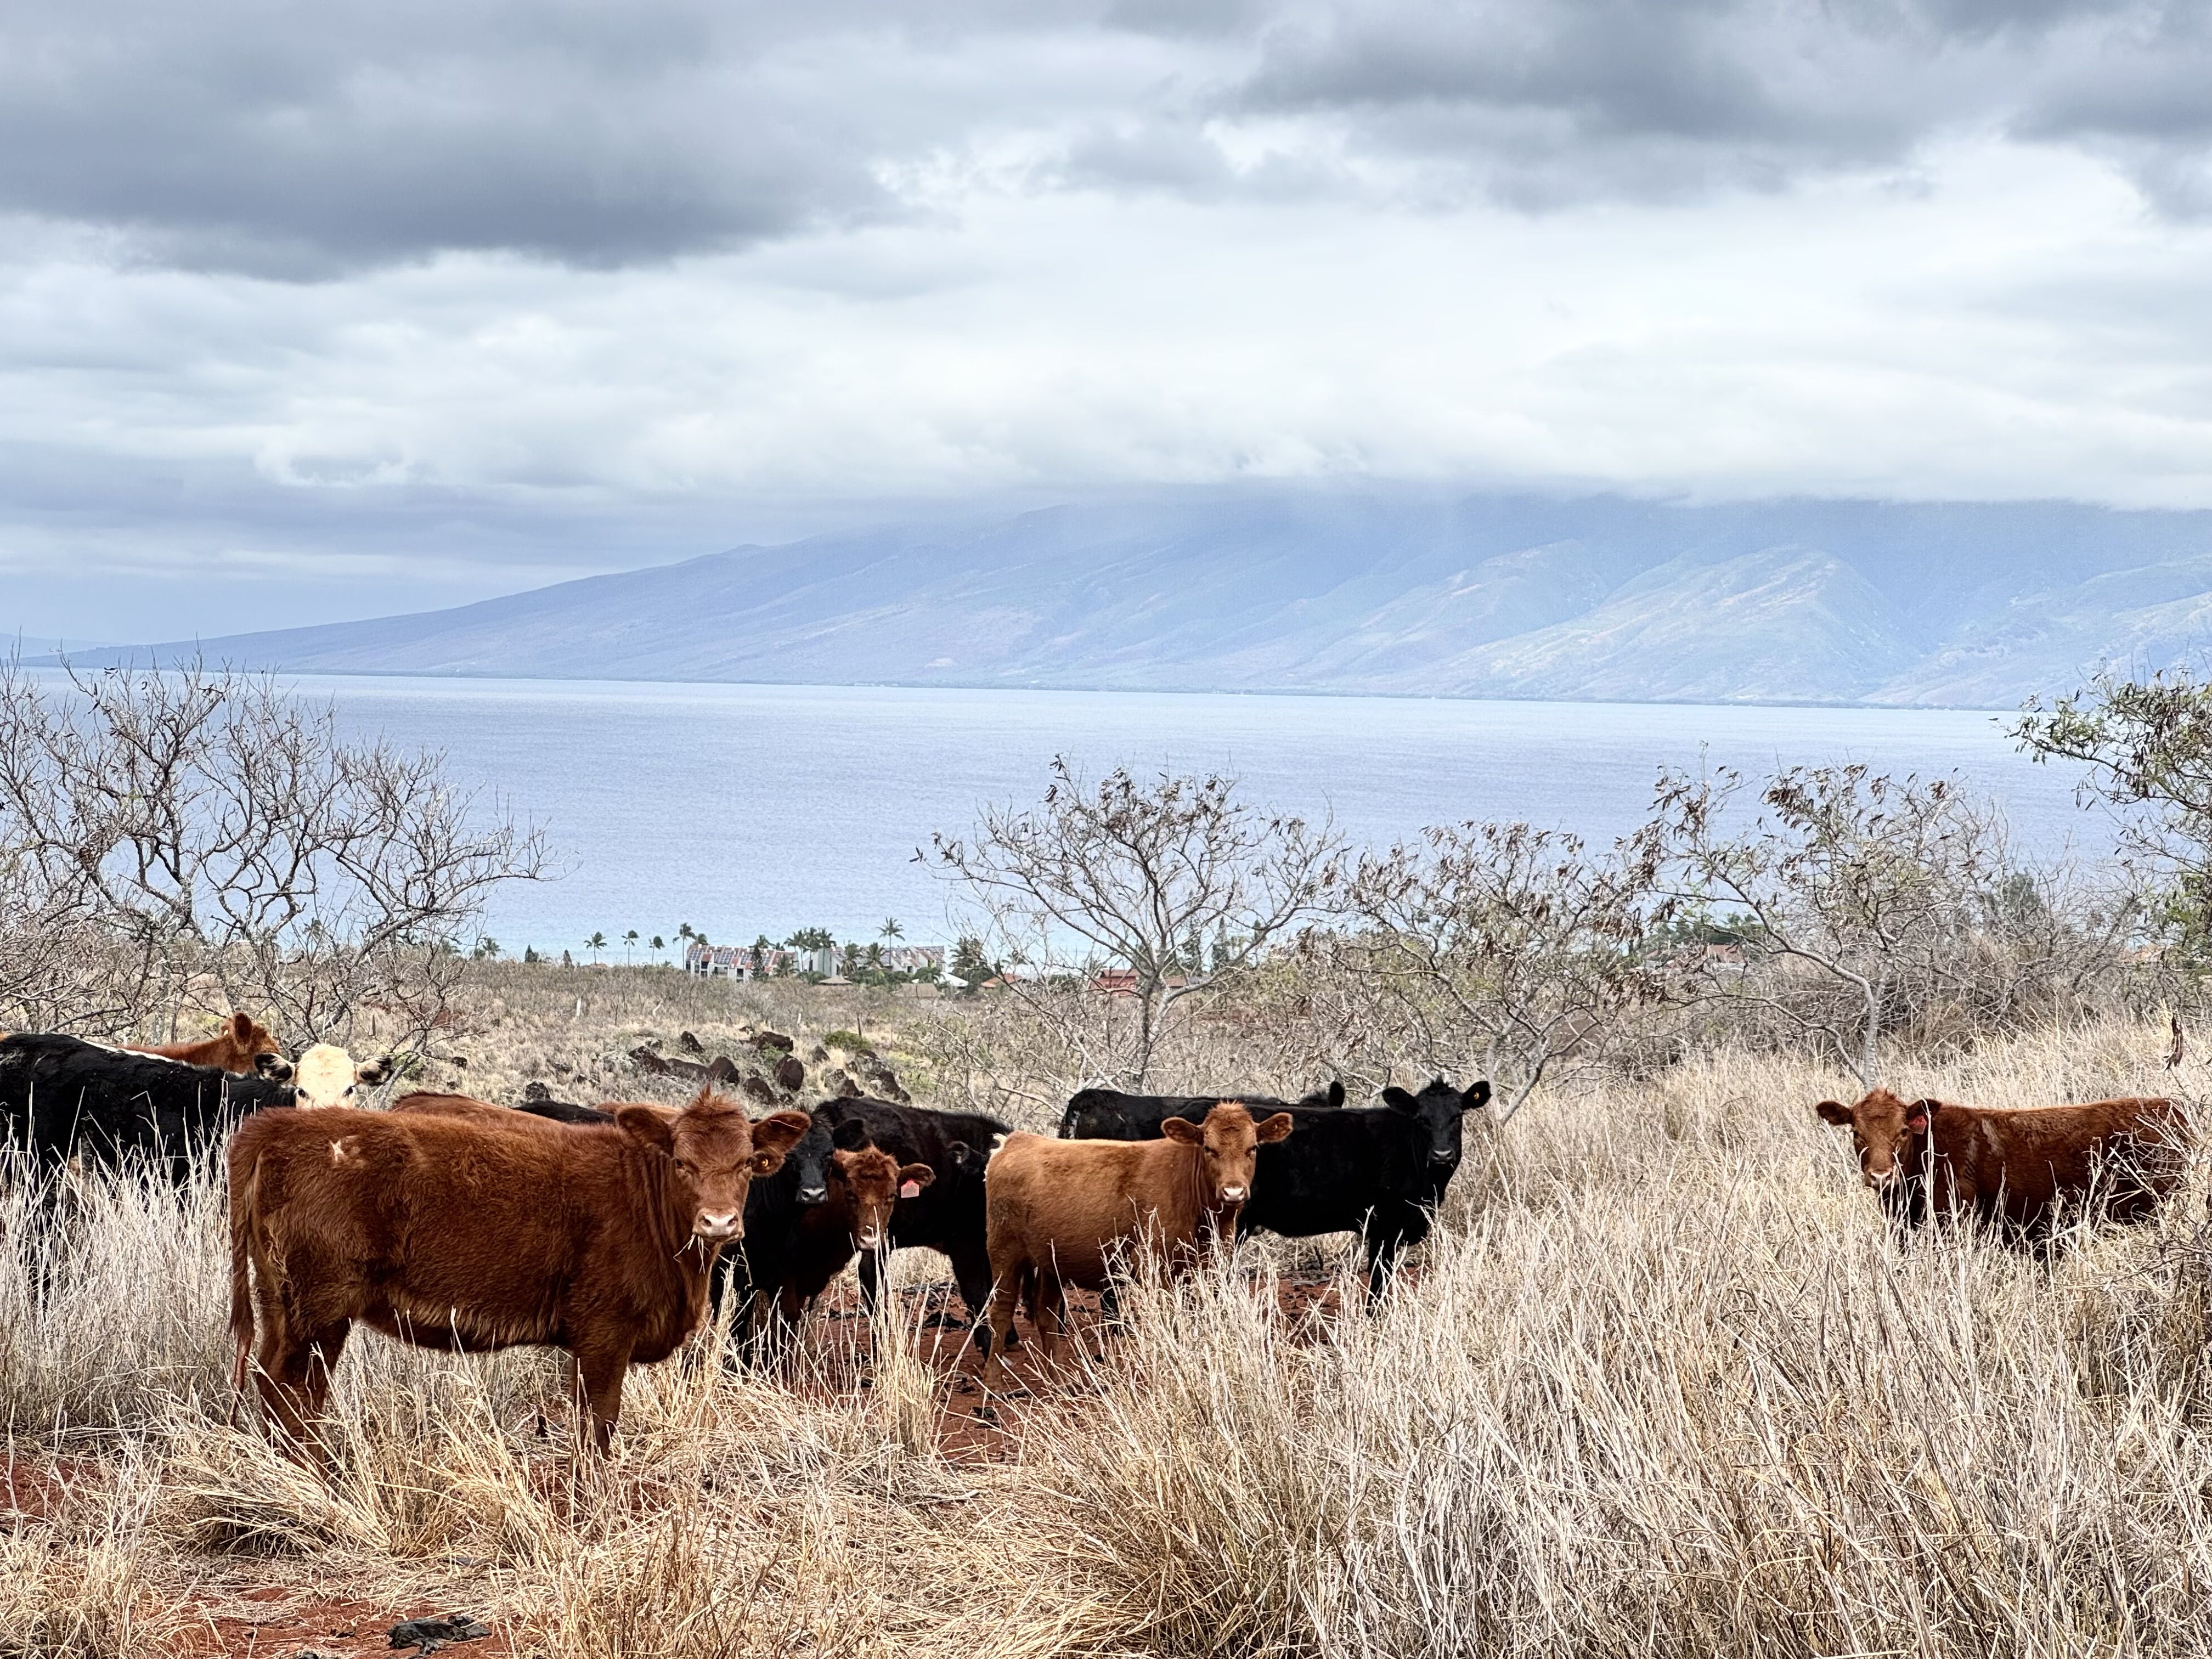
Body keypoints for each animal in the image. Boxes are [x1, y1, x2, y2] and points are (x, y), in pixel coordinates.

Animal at [229, 1084, 814, 1460]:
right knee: (295, 1391)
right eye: (681, 1163)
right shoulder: (605, 1335)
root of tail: (277, 1128)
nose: (719, 1223)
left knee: (272, 1381)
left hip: (281, 1302)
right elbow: (598, 1426)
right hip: (319, 1311)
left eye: (747, 1163)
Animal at [978, 1110, 1291, 1398]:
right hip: (1005, 1252)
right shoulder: (1153, 1266)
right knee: (1001, 1311)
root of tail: (1015, 1141)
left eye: (1253, 1148)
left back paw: (1059, 1382)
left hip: (1051, 1263)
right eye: (1208, 1149)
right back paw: (994, 1384)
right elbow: (1167, 1320)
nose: (1233, 1192)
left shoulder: (1207, 1268)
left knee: (1046, 1314)